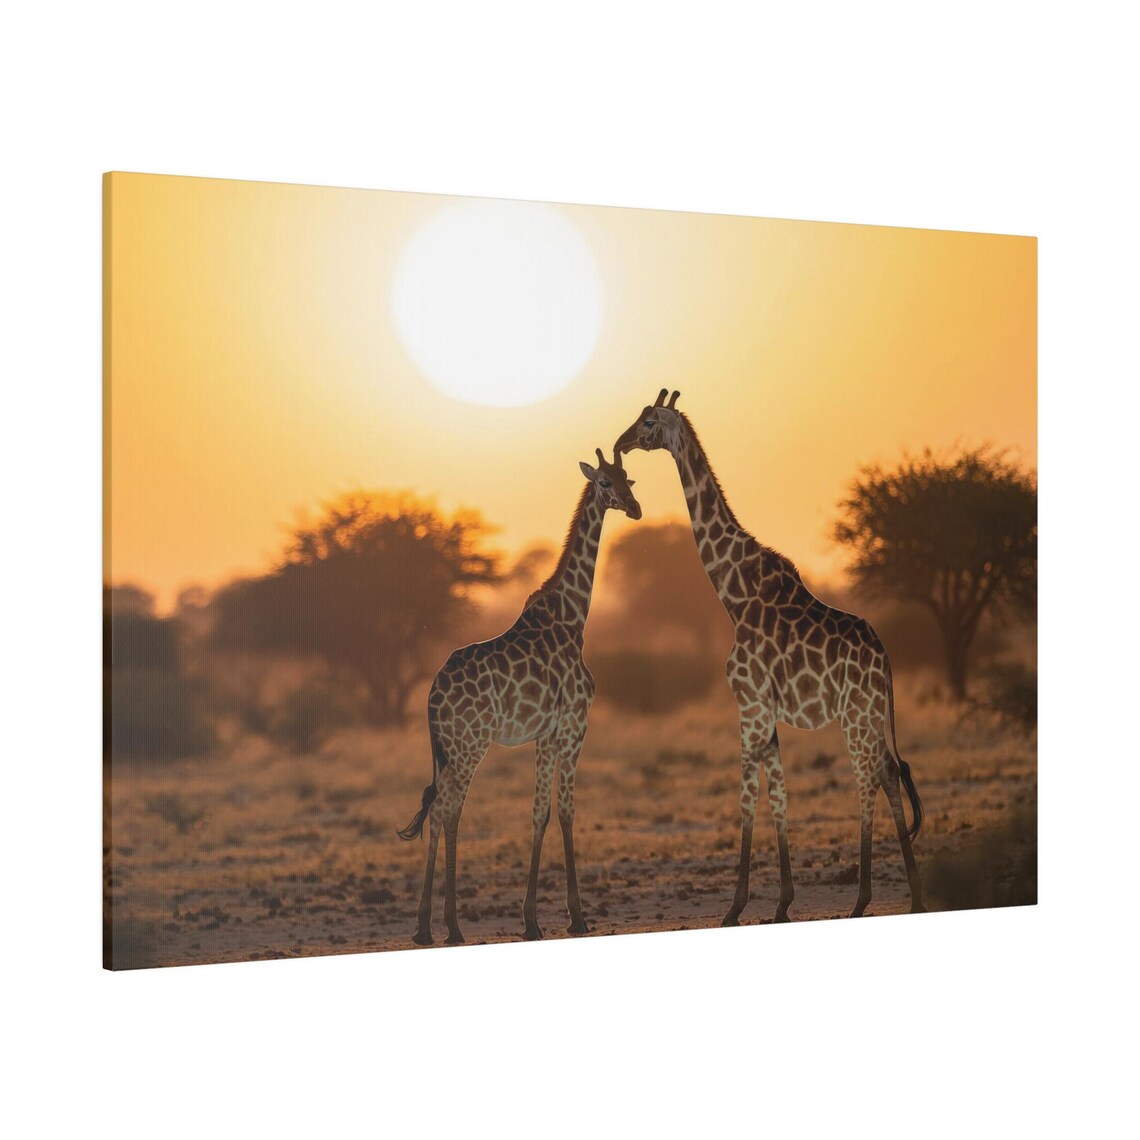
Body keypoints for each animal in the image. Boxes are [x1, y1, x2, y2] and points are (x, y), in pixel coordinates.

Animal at [398, 449, 642, 945]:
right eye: (604, 482)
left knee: (437, 809)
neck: (575, 617)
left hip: (448, 748)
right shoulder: (574, 724)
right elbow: (566, 811)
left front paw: (532, 920)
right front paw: (576, 916)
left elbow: (540, 813)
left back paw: (424, 928)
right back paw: (451, 926)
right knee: (449, 809)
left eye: (627, 477)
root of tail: (431, 696)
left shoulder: (545, 734)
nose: (635, 508)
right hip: (470, 745)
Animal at [614, 390, 924, 923]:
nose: (622, 442)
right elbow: (778, 793)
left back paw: (863, 900)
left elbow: (748, 794)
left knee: (870, 776)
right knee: (888, 771)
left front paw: (735, 906)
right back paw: (915, 897)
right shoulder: (765, 708)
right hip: (866, 713)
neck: (732, 594)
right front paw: (781, 902)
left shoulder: (750, 702)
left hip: (855, 713)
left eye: (649, 421)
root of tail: (885, 659)